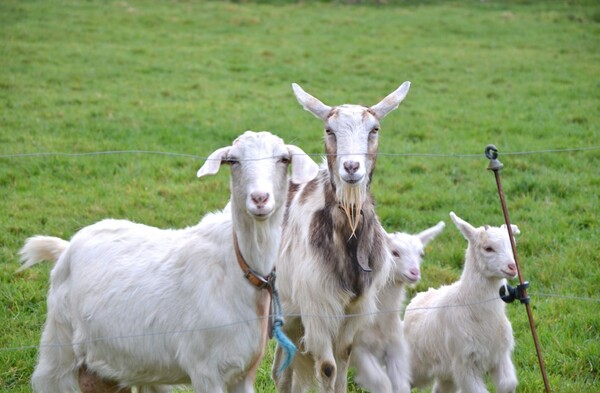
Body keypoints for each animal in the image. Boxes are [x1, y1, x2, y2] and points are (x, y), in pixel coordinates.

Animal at [18, 130, 318, 390]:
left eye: (283, 159)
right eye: (233, 160)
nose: (260, 198)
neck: (238, 267)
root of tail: (67, 245)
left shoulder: (243, 373)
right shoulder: (206, 370)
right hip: (59, 348)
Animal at [272, 81, 412, 390]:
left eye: (374, 129)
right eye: (329, 130)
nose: (351, 167)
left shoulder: (355, 309)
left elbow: (345, 355)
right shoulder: (317, 306)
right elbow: (327, 367)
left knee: (283, 364)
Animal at [350, 220, 442, 392]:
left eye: (421, 254)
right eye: (394, 253)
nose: (414, 272)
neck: (378, 323)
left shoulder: (395, 348)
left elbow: (401, 385)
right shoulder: (359, 349)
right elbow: (382, 382)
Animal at [404, 211, 520, 392]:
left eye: (513, 244)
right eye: (488, 248)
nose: (512, 267)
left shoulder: (500, 355)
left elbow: (508, 385)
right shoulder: (464, 363)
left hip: (445, 372)